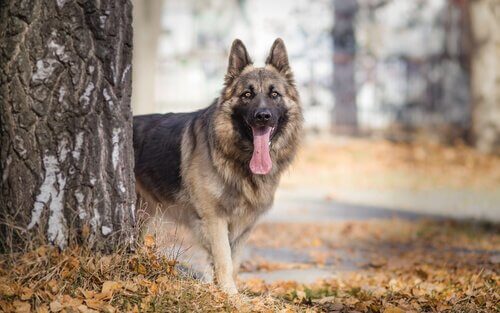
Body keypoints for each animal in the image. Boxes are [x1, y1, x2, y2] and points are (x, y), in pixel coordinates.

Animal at [133, 37, 302, 294]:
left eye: (274, 94)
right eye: (247, 94)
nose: (263, 116)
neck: (238, 159)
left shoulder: (244, 226)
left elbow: (233, 262)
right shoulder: (215, 219)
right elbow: (223, 259)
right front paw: (229, 295)